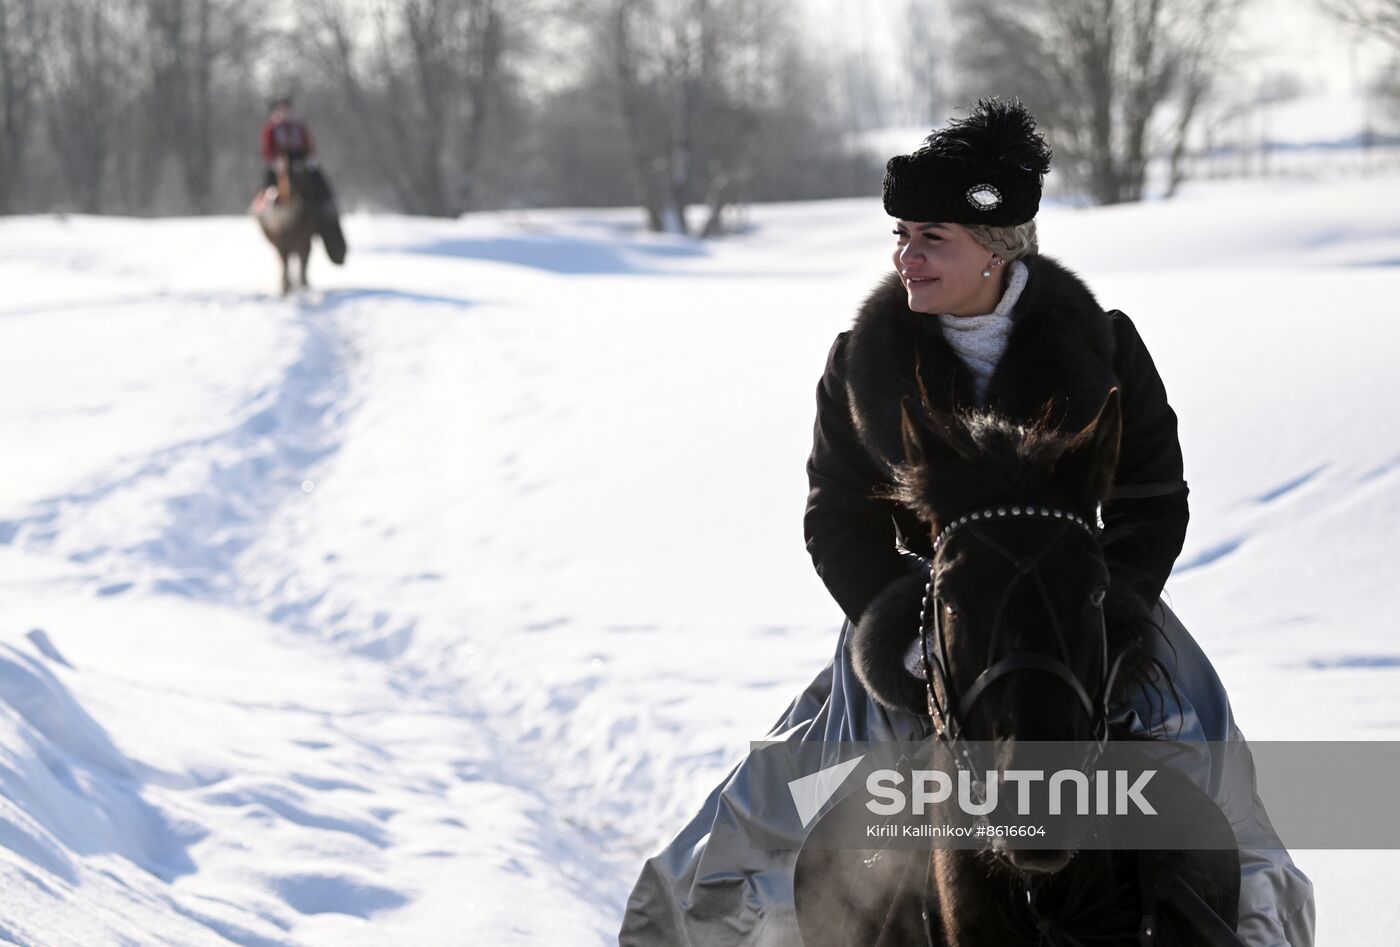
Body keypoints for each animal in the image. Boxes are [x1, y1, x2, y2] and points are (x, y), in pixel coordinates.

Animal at [250, 158, 343, 295]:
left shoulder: (302, 240)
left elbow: (302, 264)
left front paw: (301, 285)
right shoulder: (283, 242)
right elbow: (287, 263)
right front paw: (287, 287)